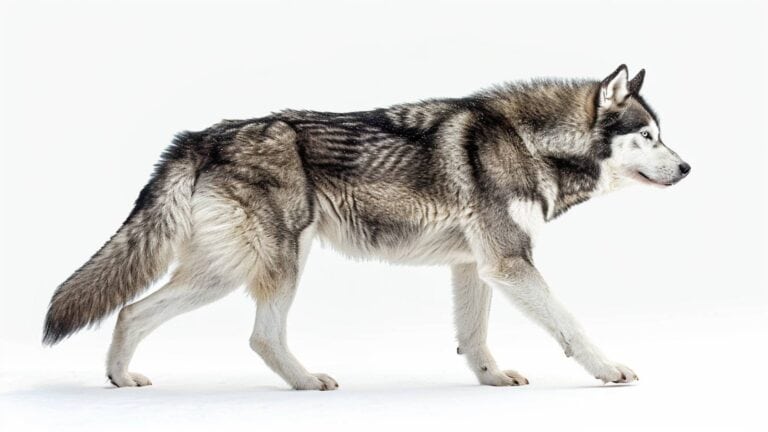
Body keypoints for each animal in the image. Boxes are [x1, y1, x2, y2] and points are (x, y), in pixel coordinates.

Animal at [42, 65, 688, 392]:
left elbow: (474, 336)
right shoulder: (509, 263)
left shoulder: (474, 266)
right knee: (260, 337)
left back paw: (120, 377)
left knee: (131, 312)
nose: (687, 168)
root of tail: (200, 136)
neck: (529, 141)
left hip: (220, 274)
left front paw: (492, 379)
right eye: (649, 136)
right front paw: (609, 370)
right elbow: (571, 325)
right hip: (274, 265)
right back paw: (307, 382)